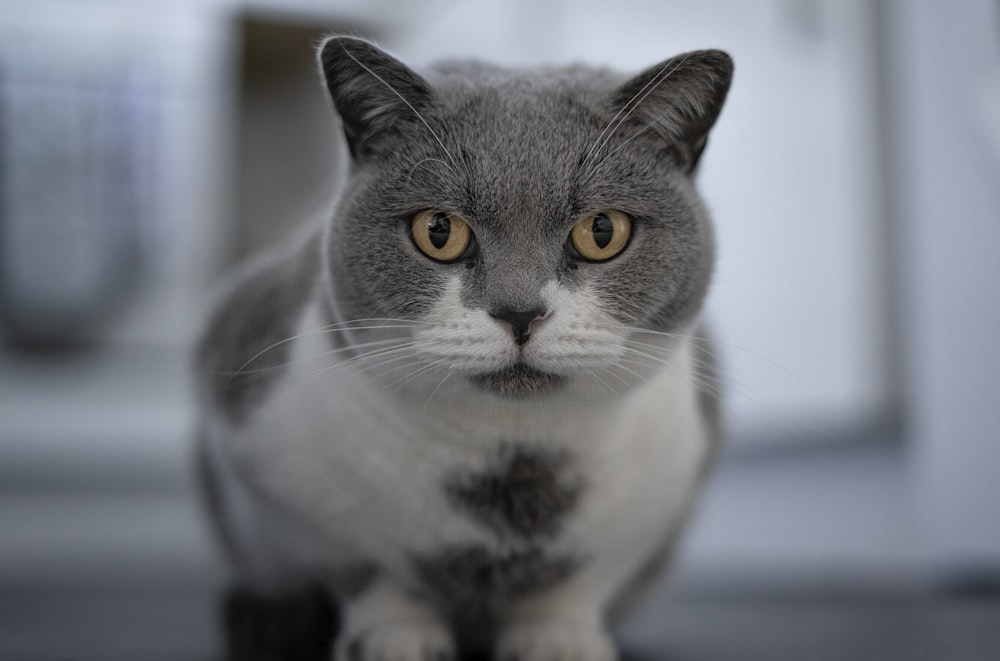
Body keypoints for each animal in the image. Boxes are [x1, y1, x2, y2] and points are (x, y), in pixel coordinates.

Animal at [191, 34, 732, 660]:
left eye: (602, 232)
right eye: (438, 231)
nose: (519, 313)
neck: (511, 457)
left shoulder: (659, 498)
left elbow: (577, 582)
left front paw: (559, 639)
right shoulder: (272, 466)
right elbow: (367, 572)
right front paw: (394, 639)